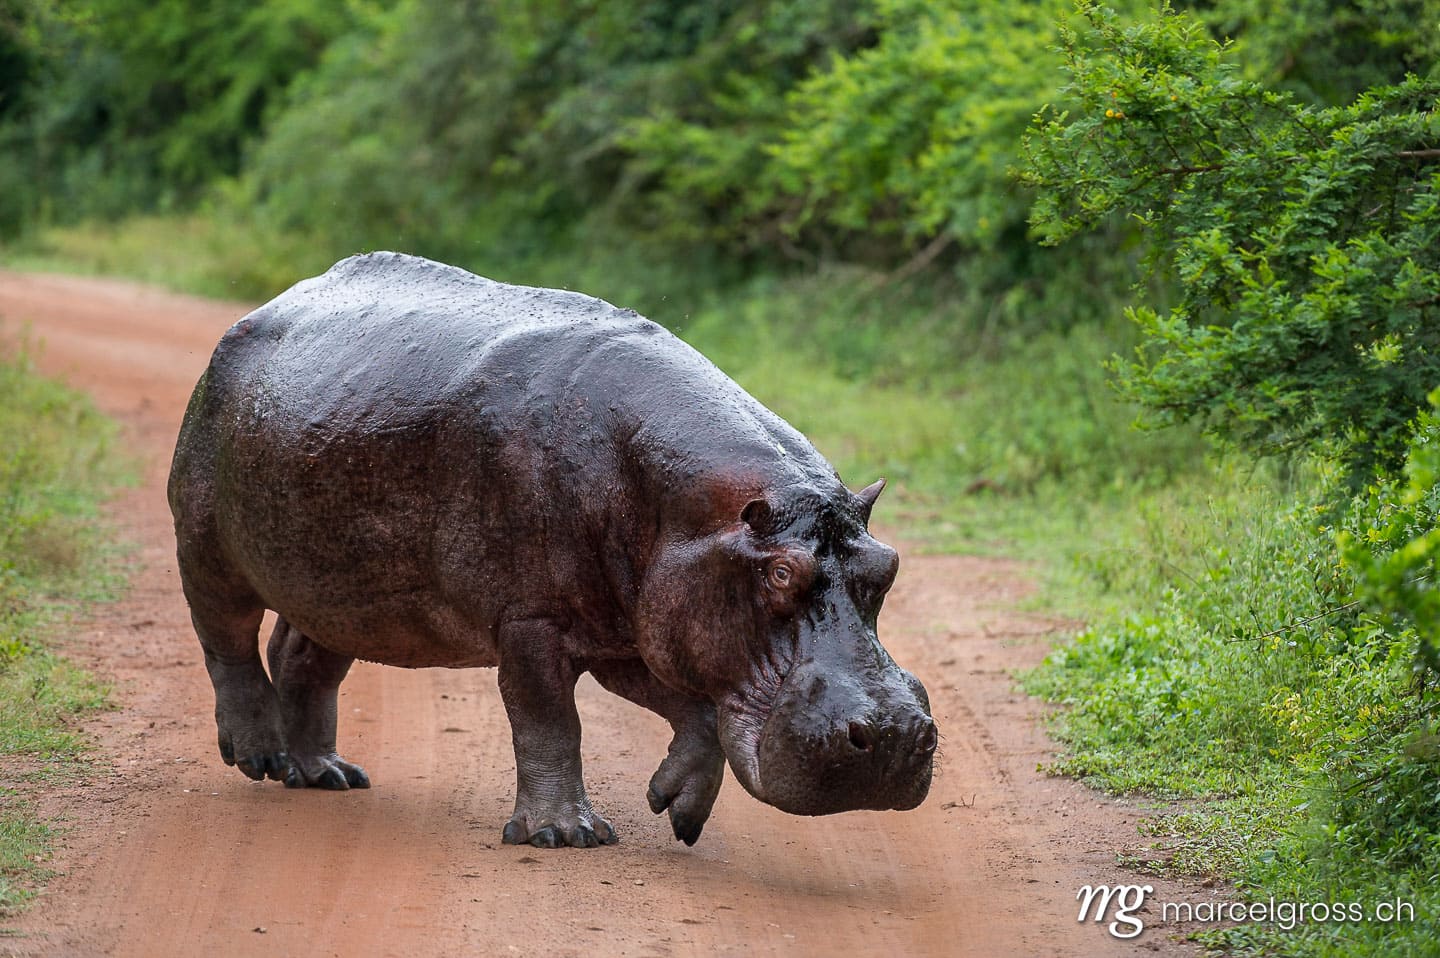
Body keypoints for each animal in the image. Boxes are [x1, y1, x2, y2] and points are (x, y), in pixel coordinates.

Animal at [168, 252, 936, 848]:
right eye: (779, 571)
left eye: (887, 567)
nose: (897, 732)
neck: (691, 511)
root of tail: (265, 307)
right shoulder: (533, 619)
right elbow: (548, 719)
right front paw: (566, 834)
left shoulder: (632, 626)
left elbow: (695, 711)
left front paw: (677, 810)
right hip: (205, 544)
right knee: (226, 641)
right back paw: (258, 754)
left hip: (342, 591)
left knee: (302, 657)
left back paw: (325, 774)